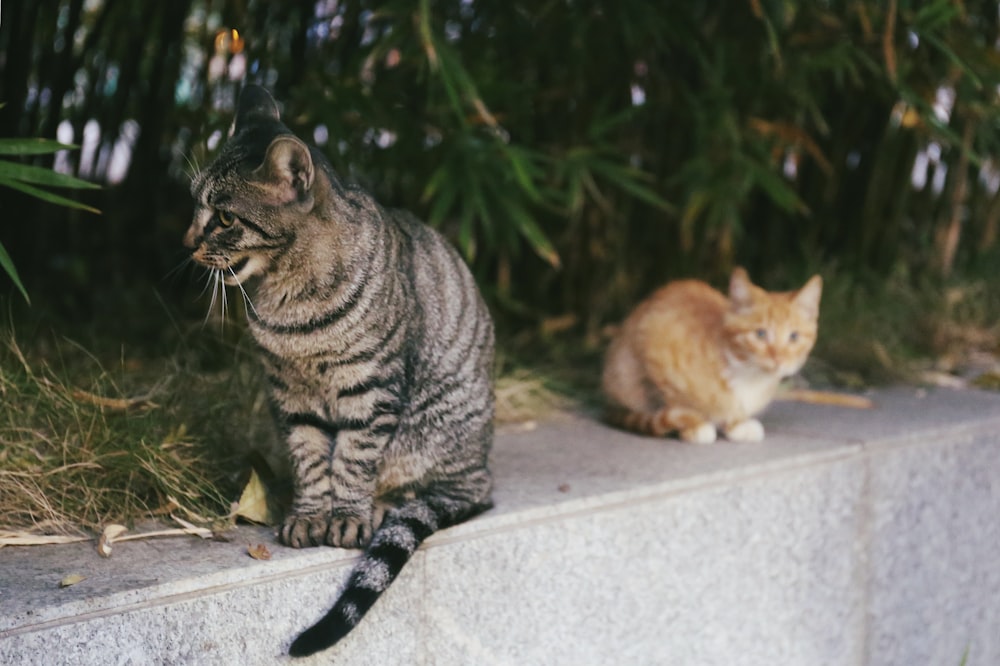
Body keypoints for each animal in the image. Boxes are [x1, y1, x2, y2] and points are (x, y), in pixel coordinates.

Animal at [182, 84, 494, 652]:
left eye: (225, 218)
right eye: (194, 204)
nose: (187, 242)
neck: (288, 303)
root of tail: (483, 467)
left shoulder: (371, 390)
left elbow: (352, 458)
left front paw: (345, 516)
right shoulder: (289, 394)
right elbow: (310, 457)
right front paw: (309, 516)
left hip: (434, 434)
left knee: (429, 489)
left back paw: (382, 506)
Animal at [600, 264, 820, 440]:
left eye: (794, 337)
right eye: (760, 334)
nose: (778, 358)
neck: (745, 372)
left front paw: (736, 425)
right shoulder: (654, 345)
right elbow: (676, 402)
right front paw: (694, 425)